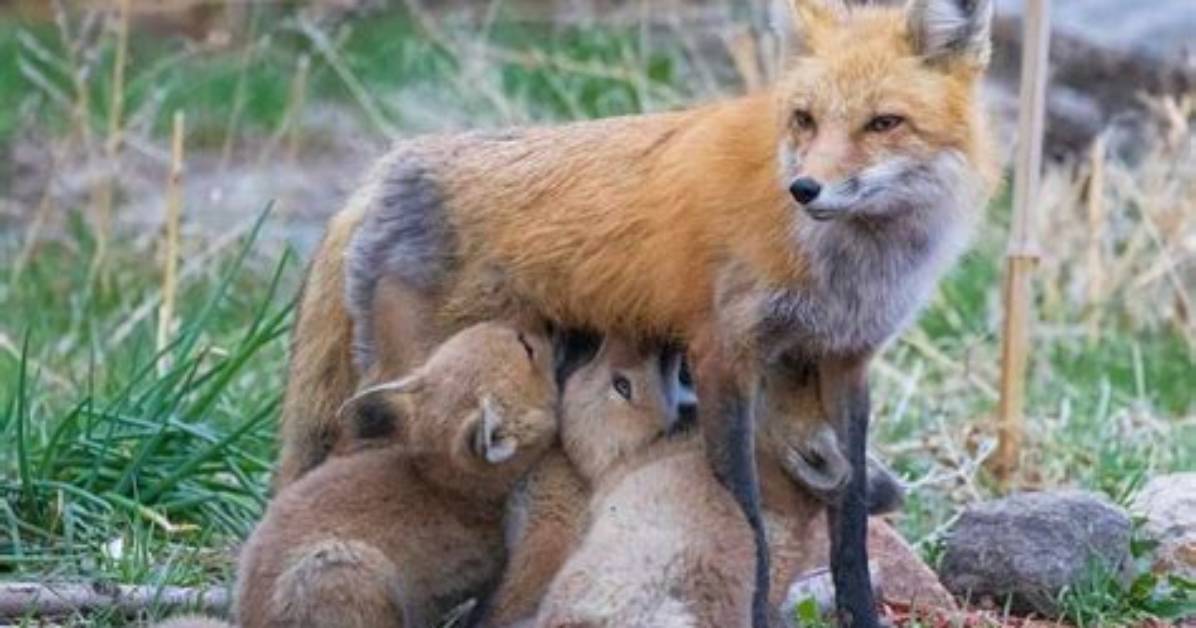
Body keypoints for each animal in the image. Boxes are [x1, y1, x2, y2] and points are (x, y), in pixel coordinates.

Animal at [278, 1, 999, 625]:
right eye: (805, 119)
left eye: (884, 123)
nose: (804, 189)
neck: (851, 266)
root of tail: (384, 169)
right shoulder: (725, 358)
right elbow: (747, 517)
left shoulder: (846, 361)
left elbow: (847, 527)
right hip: (407, 389)